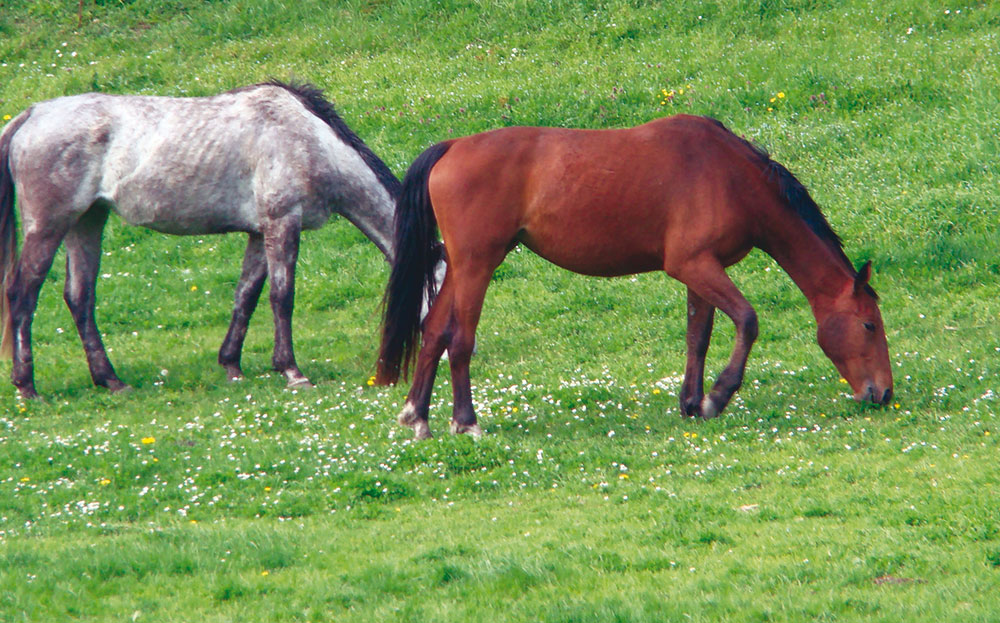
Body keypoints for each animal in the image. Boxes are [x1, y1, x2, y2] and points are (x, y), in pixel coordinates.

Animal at [1, 80, 406, 400]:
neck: (308, 139)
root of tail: (31, 115)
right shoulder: (282, 224)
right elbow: (282, 297)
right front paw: (291, 371)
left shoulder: (259, 234)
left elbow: (246, 296)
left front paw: (232, 366)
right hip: (48, 227)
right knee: (23, 293)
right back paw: (27, 386)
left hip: (86, 222)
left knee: (80, 298)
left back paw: (110, 380)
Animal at [378, 116, 896, 438]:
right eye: (870, 324)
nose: (884, 393)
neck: (729, 175)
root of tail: (453, 147)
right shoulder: (695, 265)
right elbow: (747, 321)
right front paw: (718, 396)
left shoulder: (700, 271)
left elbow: (697, 337)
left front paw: (692, 402)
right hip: (477, 265)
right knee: (460, 338)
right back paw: (465, 420)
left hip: (463, 266)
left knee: (434, 331)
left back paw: (418, 415)